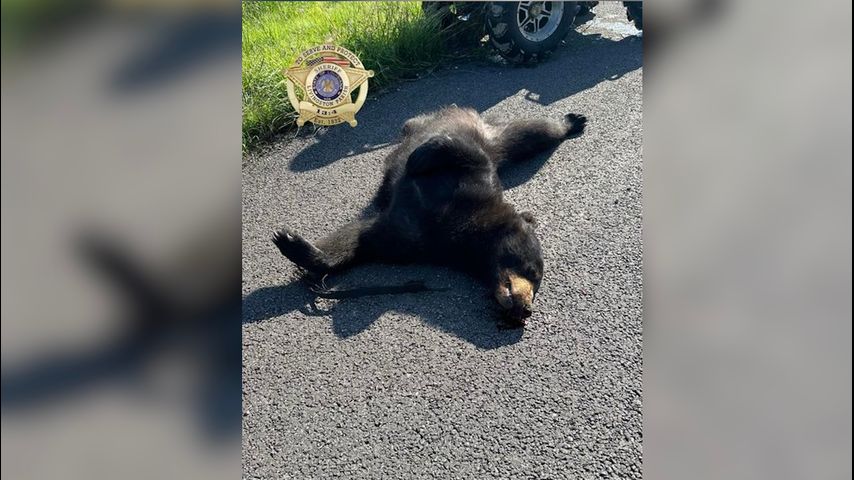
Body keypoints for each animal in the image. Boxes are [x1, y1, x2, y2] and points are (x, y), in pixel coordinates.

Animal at [273, 106, 586, 327]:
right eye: (533, 272)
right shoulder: (471, 184)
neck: (463, 235)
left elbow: (367, 239)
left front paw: (296, 247)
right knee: (531, 133)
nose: (527, 309)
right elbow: (460, 152)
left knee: (529, 134)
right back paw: (572, 121)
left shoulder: (419, 242)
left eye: (537, 284)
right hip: (491, 138)